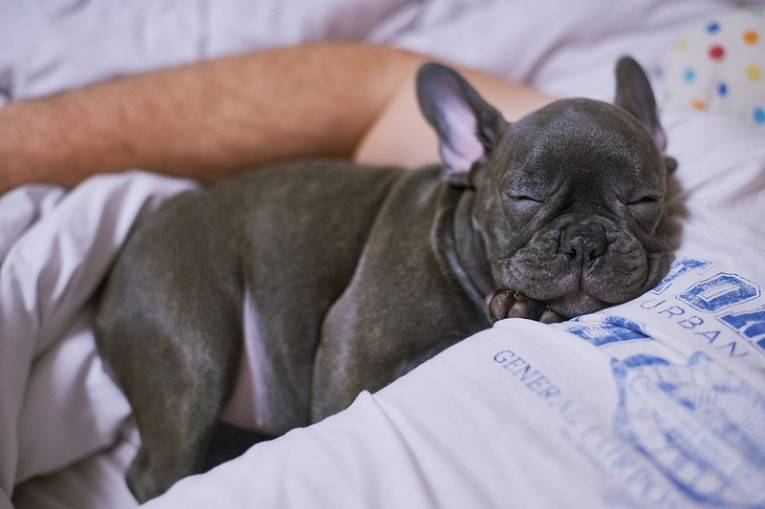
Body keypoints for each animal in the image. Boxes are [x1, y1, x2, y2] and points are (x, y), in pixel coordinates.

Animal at [94, 56, 676, 500]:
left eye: (646, 201)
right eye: (524, 197)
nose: (585, 241)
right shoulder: (354, 357)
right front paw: (523, 307)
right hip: (194, 347)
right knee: (155, 472)